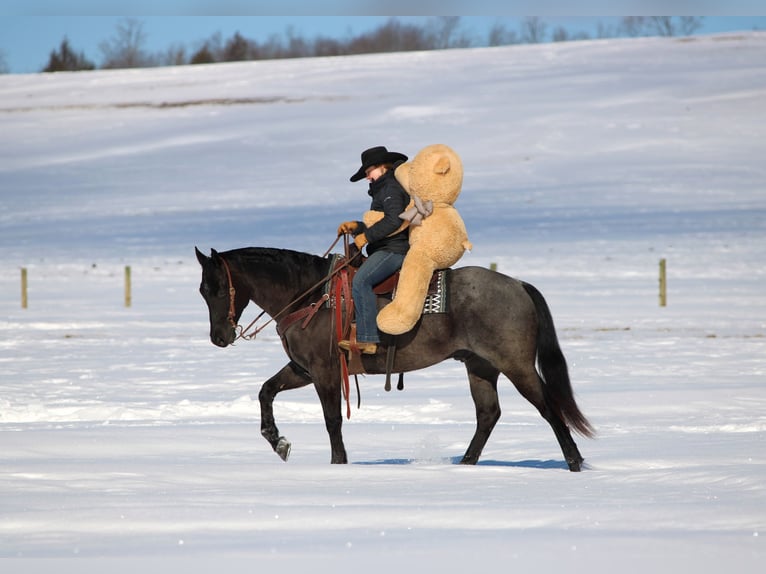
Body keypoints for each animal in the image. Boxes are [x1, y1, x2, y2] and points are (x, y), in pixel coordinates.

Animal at [195, 245, 594, 471]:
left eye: (217, 288)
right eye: (202, 290)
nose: (219, 337)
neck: (310, 295)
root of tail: (518, 285)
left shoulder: (324, 371)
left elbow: (332, 420)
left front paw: (337, 464)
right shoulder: (302, 369)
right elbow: (266, 391)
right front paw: (277, 441)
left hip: (517, 366)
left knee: (549, 407)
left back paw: (574, 462)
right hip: (480, 367)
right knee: (488, 415)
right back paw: (465, 466)